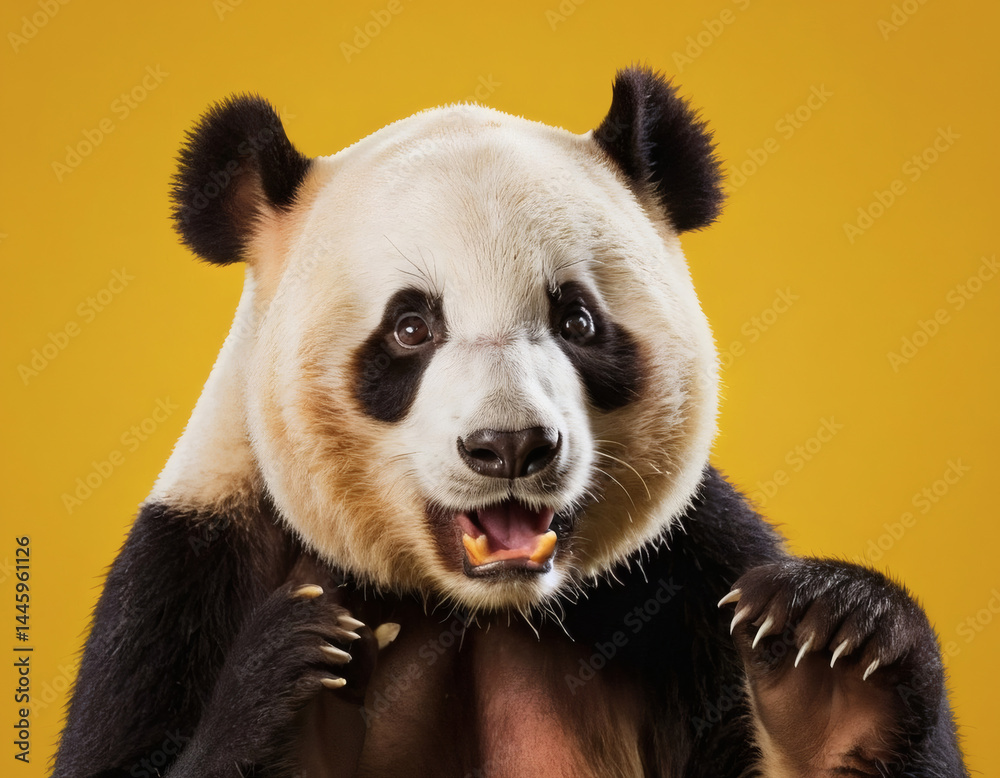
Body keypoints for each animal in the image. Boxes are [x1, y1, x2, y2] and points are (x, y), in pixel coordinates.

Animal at [53, 67, 968, 778]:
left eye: (578, 320)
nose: (511, 446)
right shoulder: (187, 571)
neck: (468, 604)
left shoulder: (690, 577)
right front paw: (300, 677)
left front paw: (833, 664)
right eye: (411, 327)